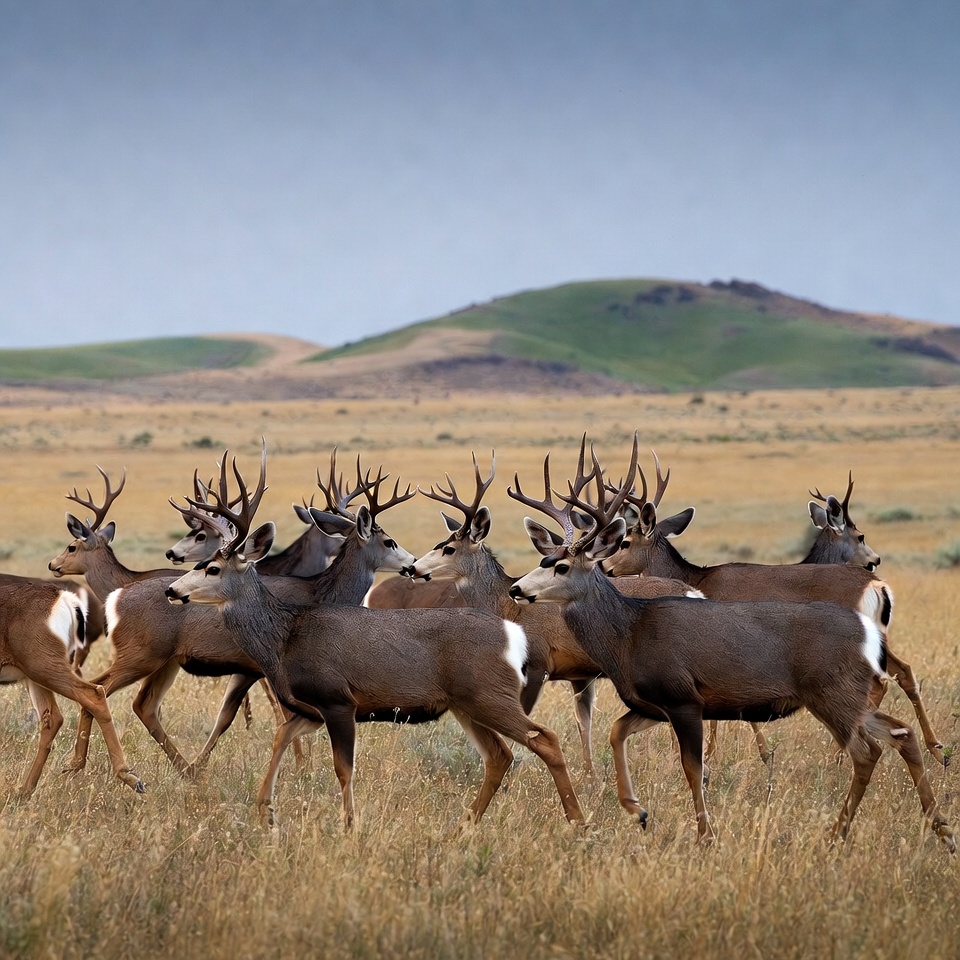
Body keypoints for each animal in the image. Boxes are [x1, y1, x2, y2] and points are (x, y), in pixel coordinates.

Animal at [0, 573, 143, 799]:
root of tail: (62, 598)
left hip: (42, 667)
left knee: (92, 695)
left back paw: (126, 776)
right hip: (36, 676)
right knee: (53, 718)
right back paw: (25, 790)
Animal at [60, 447, 420, 780]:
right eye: (389, 541)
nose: (413, 563)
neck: (320, 592)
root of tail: (117, 597)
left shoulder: (250, 668)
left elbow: (234, 714)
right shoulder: (264, 666)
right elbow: (275, 713)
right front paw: (301, 767)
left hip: (165, 660)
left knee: (141, 704)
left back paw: (169, 767)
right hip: (141, 652)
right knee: (98, 688)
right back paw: (84, 765)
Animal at [164, 448, 584, 829]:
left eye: (212, 569)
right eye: (203, 563)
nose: (171, 589)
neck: (285, 637)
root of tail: (510, 633)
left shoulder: (338, 700)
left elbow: (343, 768)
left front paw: (349, 826)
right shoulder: (309, 708)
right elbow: (280, 736)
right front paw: (265, 810)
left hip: (488, 694)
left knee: (544, 739)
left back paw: (577, 821)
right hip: (466, 704)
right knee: (500, 756)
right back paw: (465, 825)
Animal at [406, 450, 700, 774]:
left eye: (448, 549)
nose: (413, 568)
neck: (505, 607)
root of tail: (692, 591)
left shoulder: (537, 663)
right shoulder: (578, 674)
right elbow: (582, 721)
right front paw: (589, 774)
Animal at [600, 455, 946, 766]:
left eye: (625, 541)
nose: (605, 567)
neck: (696, 578)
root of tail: (877, 584)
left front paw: (724, 752)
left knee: (881, 683)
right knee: (902, 673)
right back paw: (935, 749)